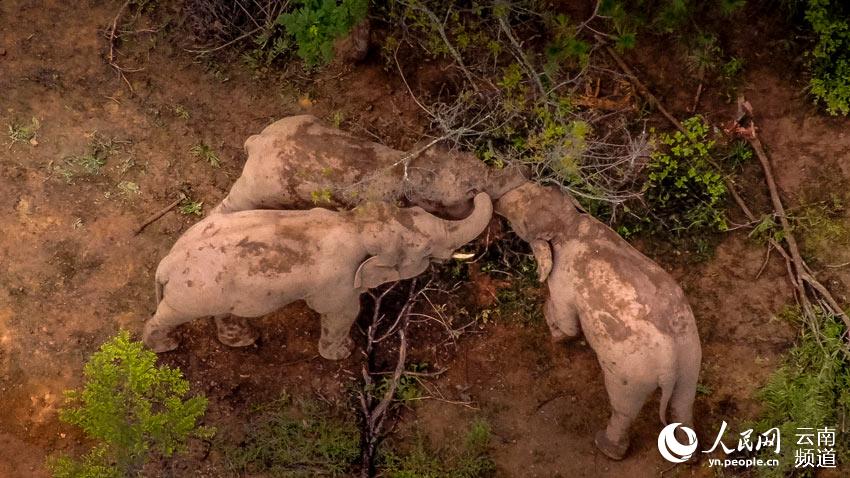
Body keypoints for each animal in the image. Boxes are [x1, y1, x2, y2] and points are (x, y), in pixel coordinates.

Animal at [143, 192, 493, 360]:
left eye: (419, 212)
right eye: (424, 250)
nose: (476, 192)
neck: (355, 225)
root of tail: (165, 263)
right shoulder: (338, 283)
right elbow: (343, 312)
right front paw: (344, 354)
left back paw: (245, 340)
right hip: (189, 296)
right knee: (167, 317)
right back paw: (166, 347)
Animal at [495, 182, 701, 460]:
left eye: (517, 220)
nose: (496, 203)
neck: (569, 222)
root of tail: (670, 365)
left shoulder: (562, 282)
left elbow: (567, 323)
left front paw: (555, 331)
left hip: (632, 376)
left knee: (624, 409)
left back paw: (606, 448)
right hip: (691, 359)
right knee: (683, 402)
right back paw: (688, 455)